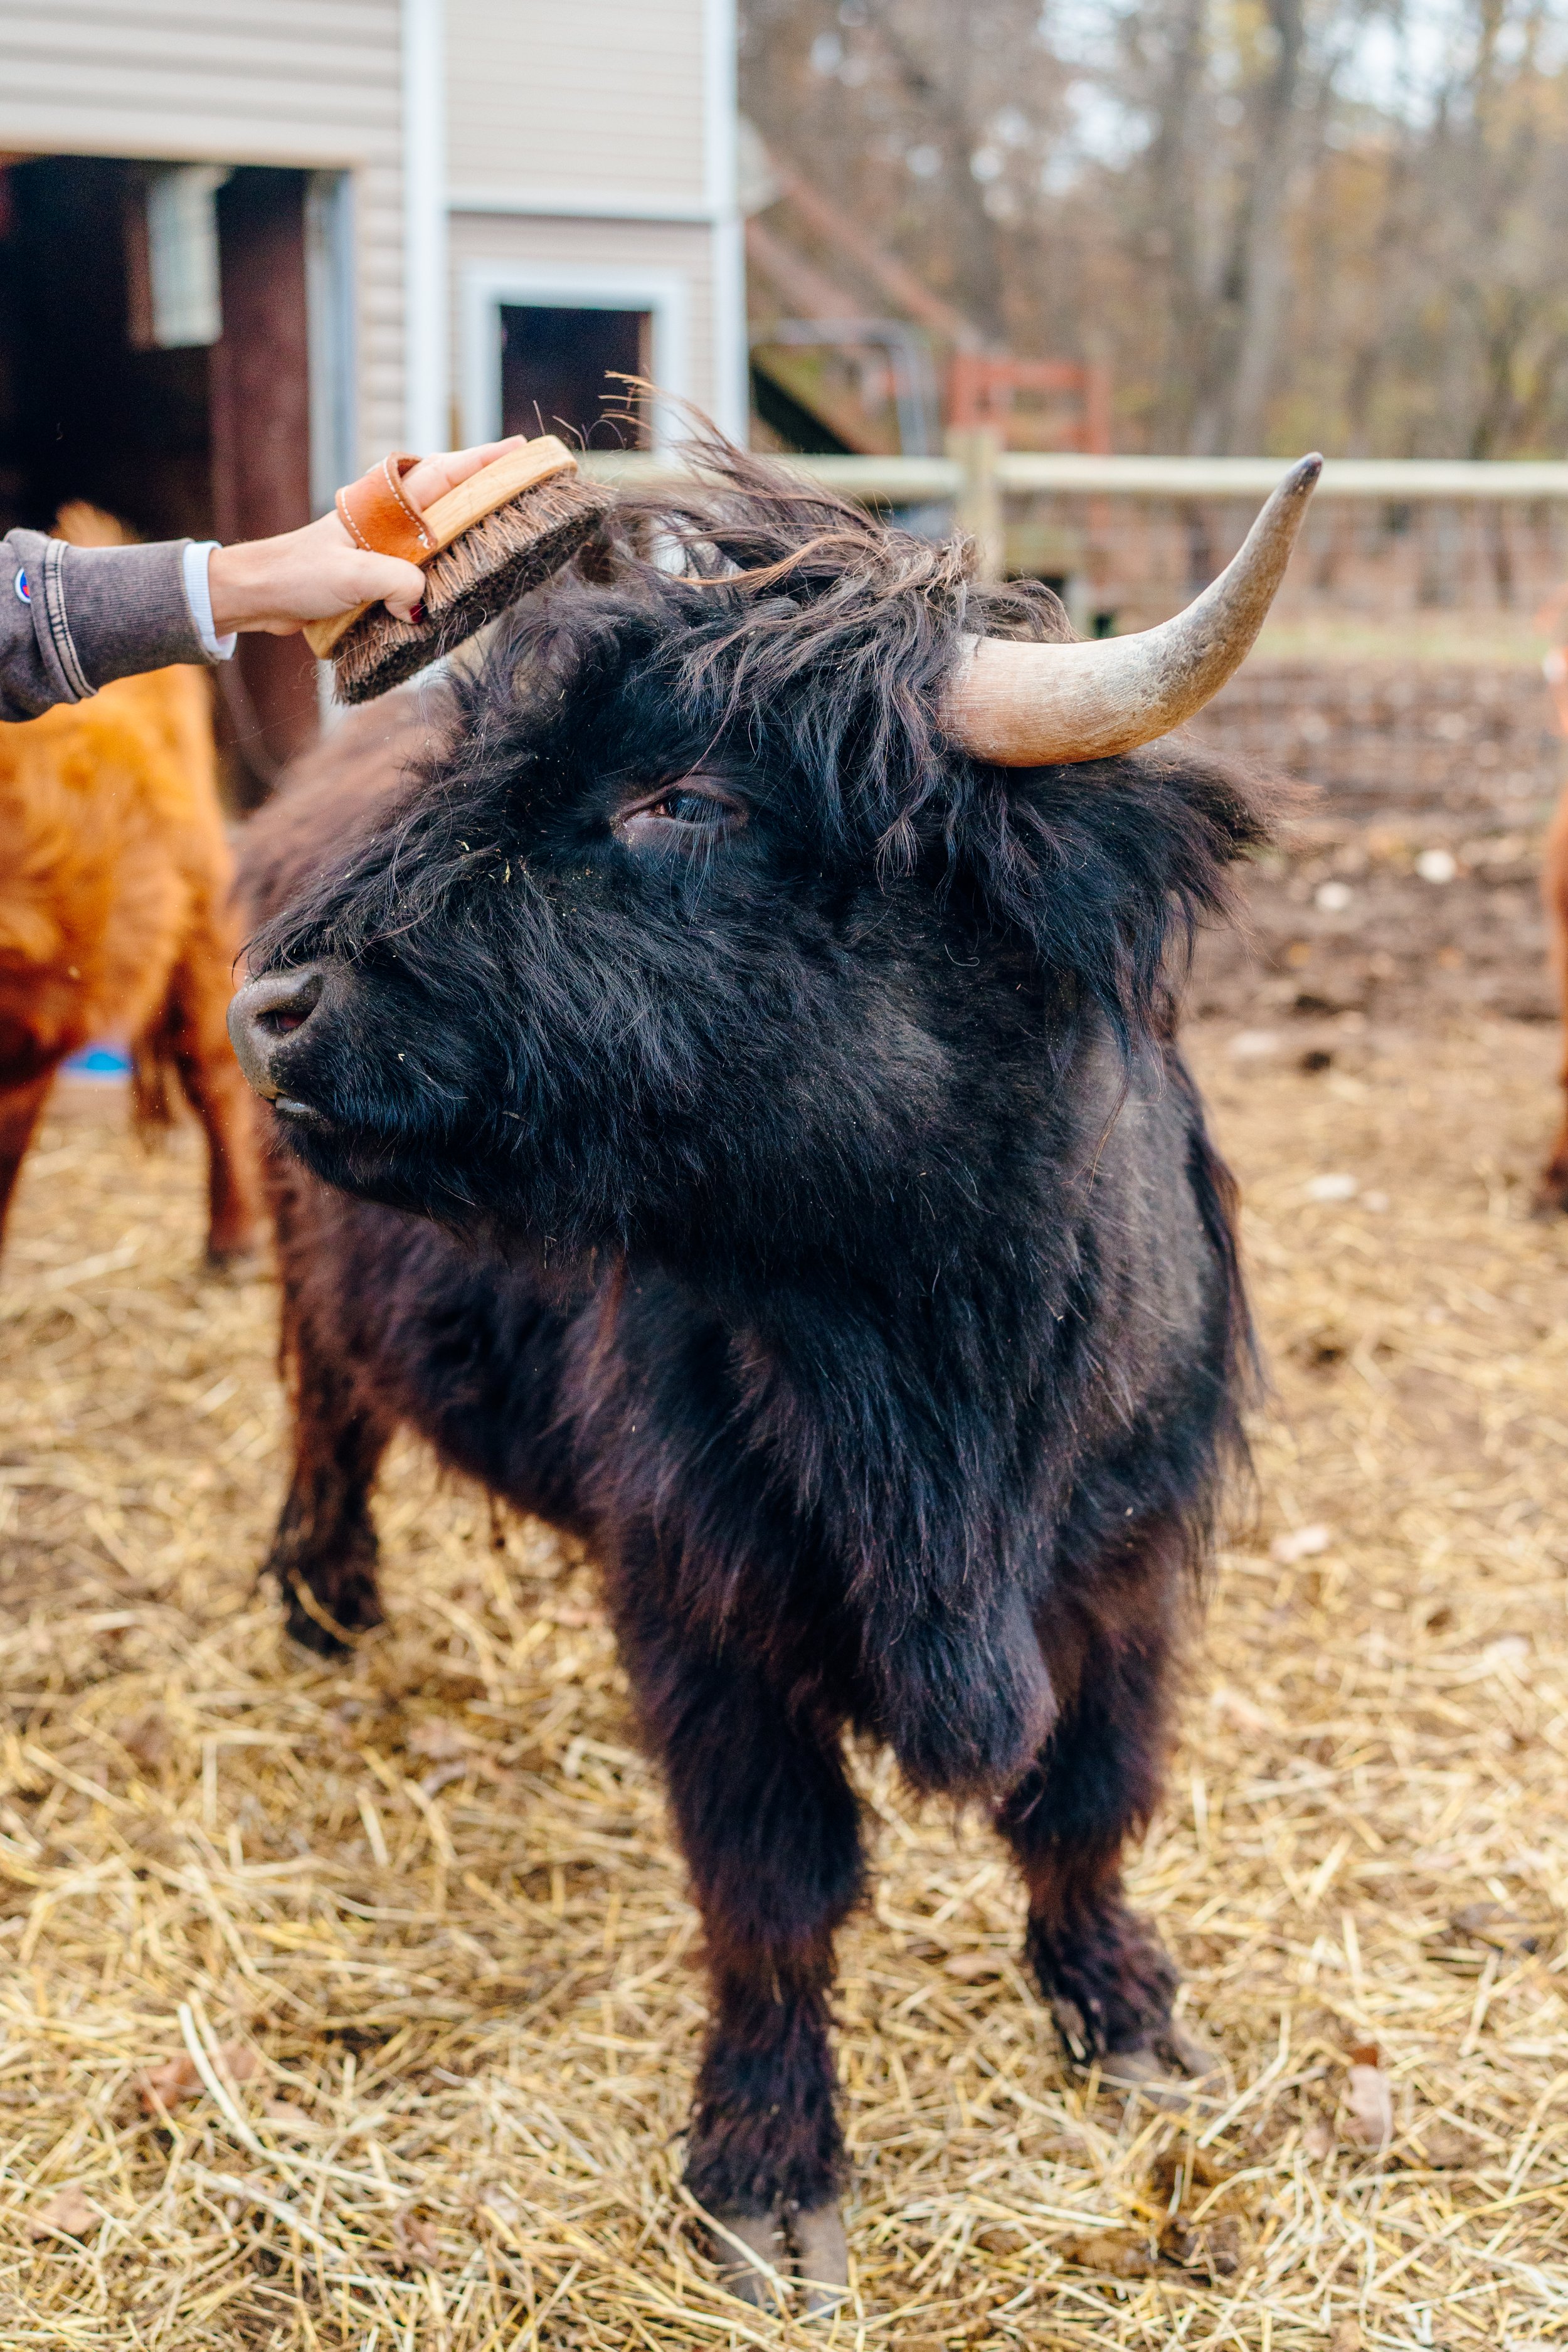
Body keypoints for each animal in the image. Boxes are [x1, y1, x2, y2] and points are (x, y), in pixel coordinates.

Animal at [227, 440, 1318, 2309]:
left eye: (686, 801)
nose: (281, 1000)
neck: (922, 1359)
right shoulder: (705, 1603)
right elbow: (773, 1886)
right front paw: (764, 2168)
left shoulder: (1122, 1575)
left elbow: (1088, 1803)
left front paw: (1126, 2019)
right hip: (312, 1277)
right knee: (327, 1409)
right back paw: (327, 1601)